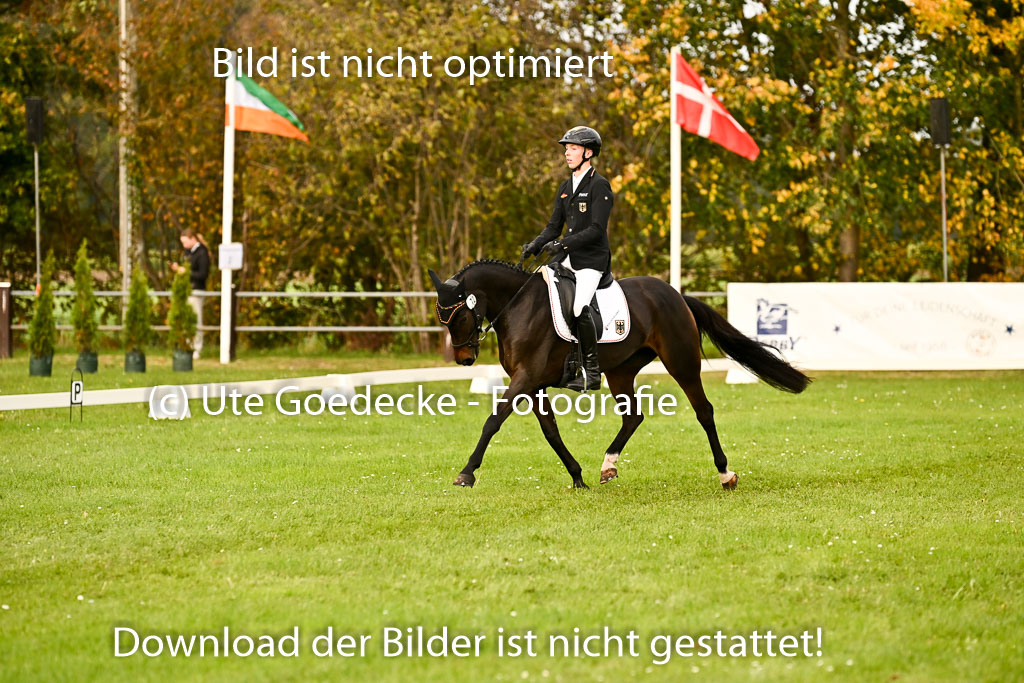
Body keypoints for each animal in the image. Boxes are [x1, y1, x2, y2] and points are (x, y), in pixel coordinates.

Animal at [428, 260, 810, 490]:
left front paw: (466, 473)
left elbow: (493, 421)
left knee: (704, 412)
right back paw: (607, 466)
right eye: (442, 317)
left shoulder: (525, 379)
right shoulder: (533, 385)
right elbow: (551, 432)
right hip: (621, 371)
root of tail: (675, 295)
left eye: (459, 315)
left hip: (681, 363)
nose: (465, 358)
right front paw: (577, 477)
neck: (520, 306)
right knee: (633, 416)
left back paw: (725, 474)